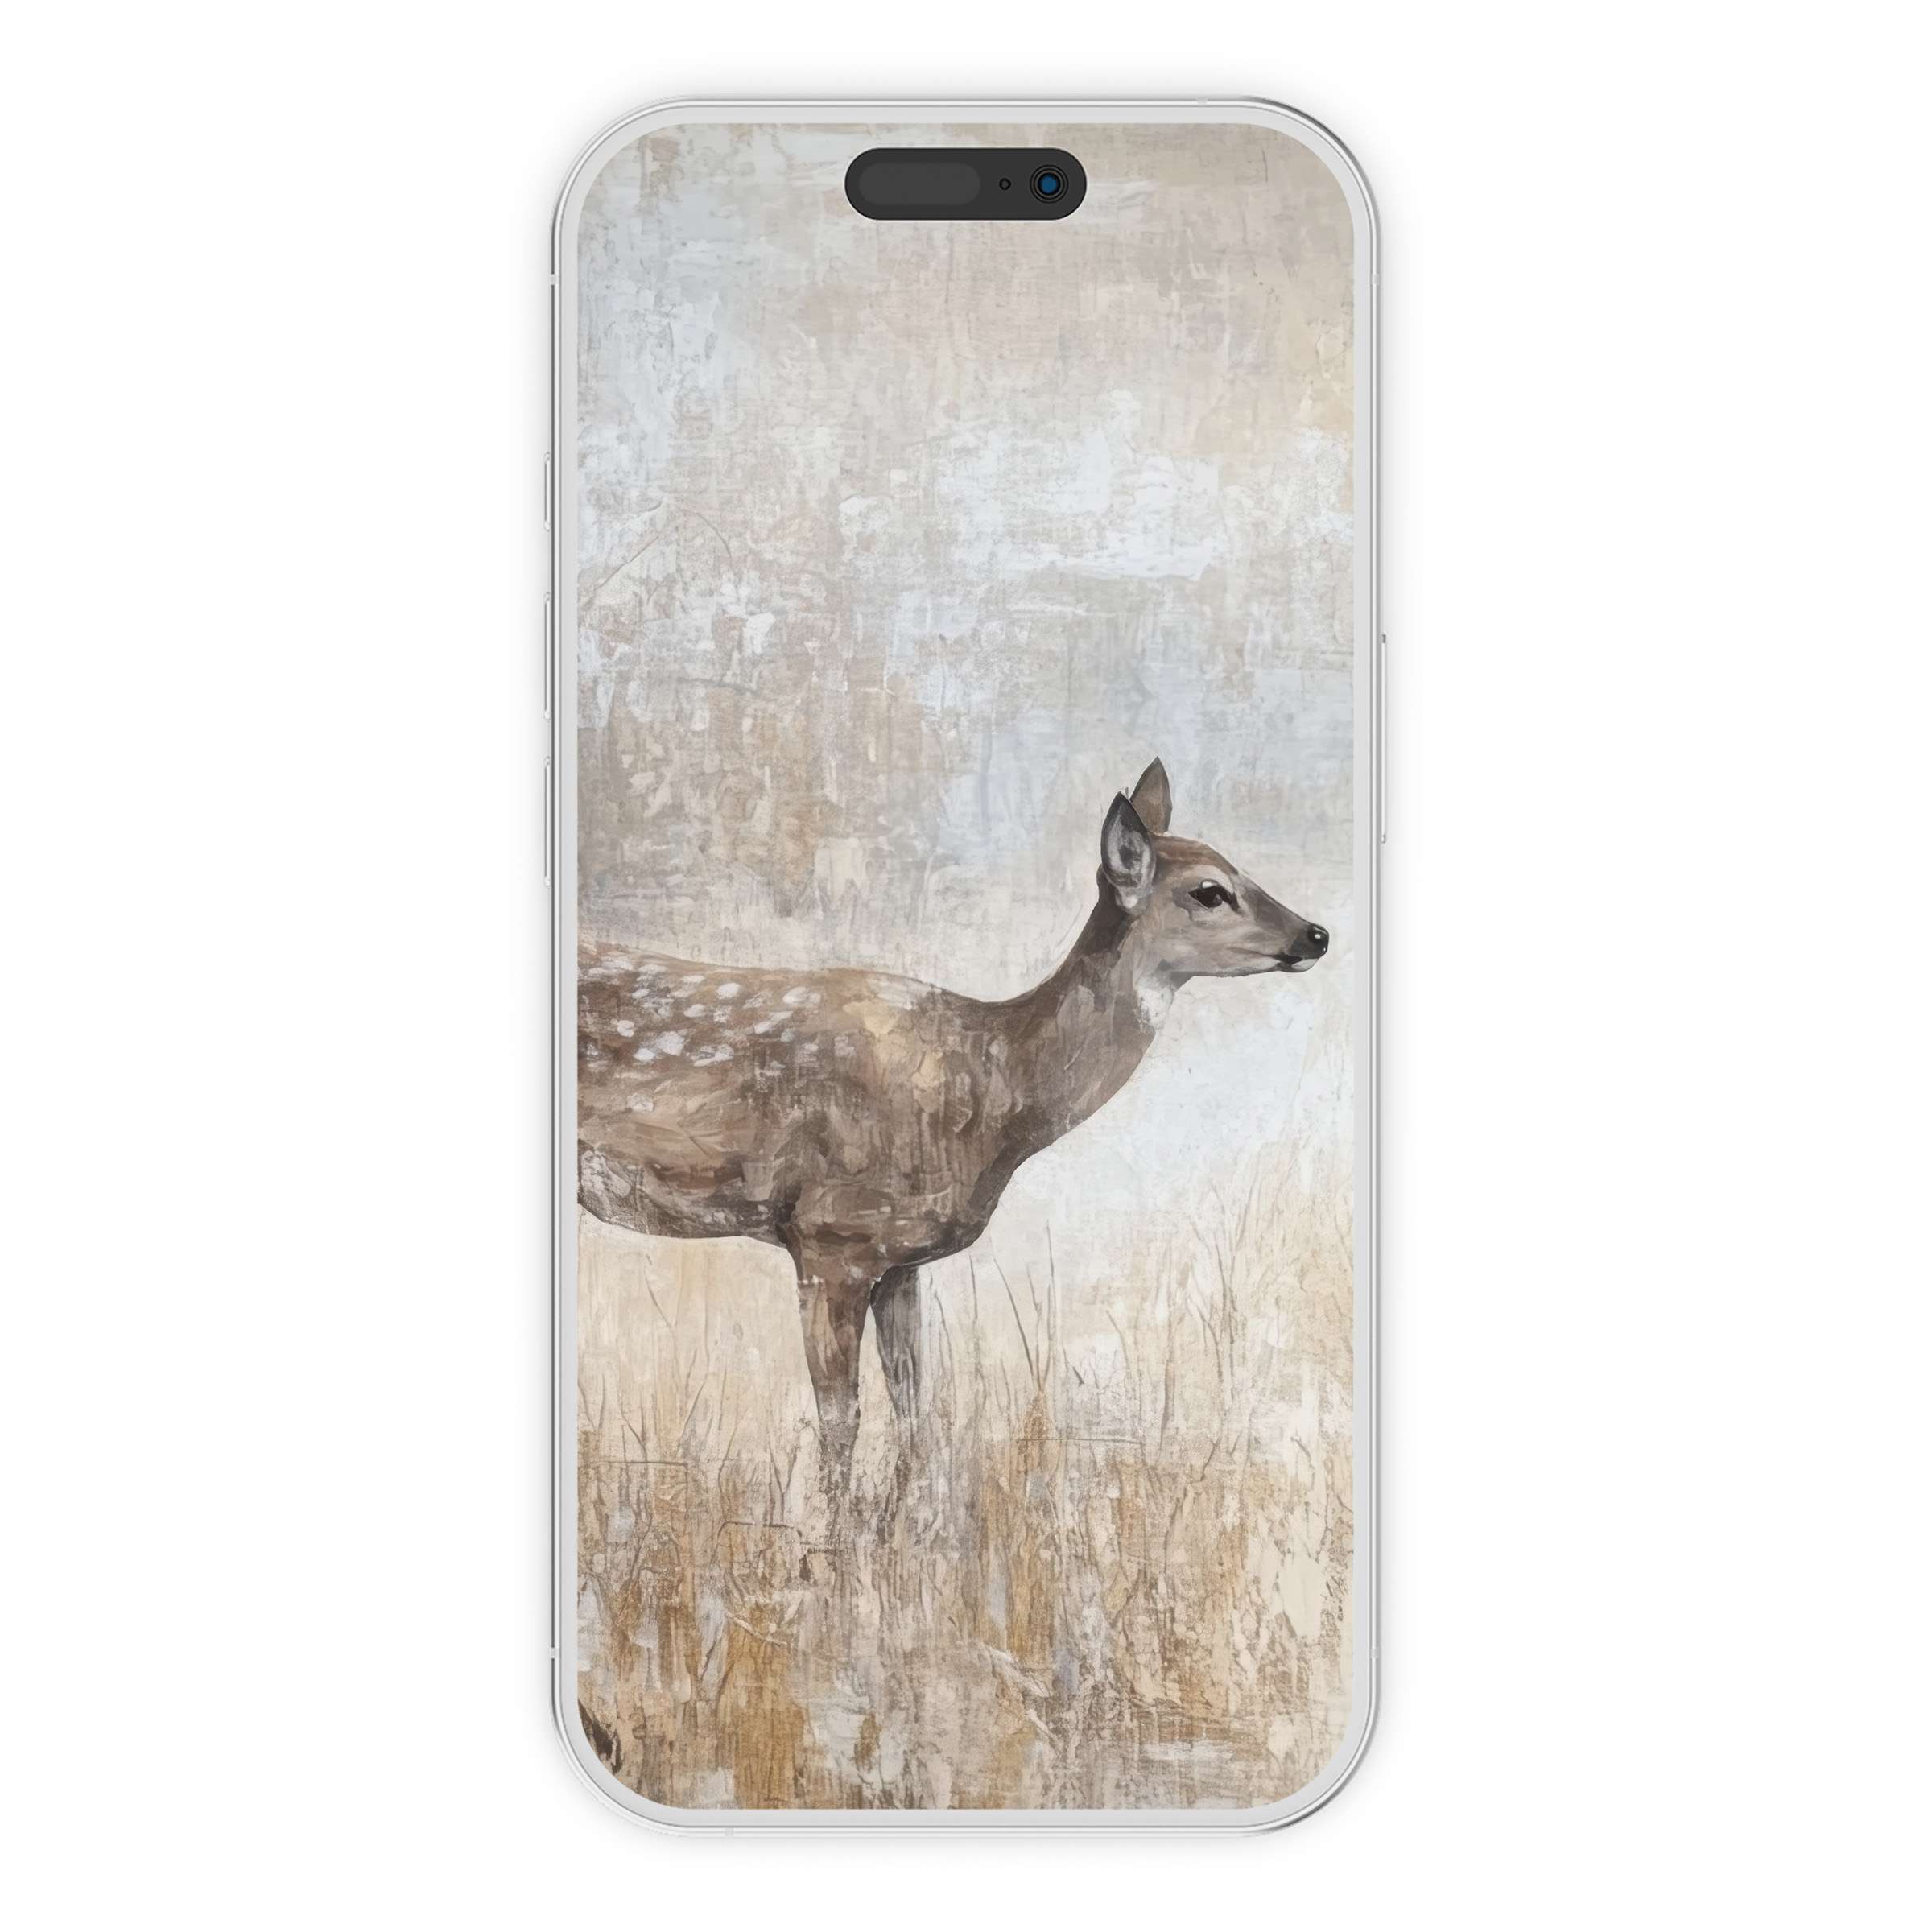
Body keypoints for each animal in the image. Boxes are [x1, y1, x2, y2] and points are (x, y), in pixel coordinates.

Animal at [576, 760, 1328, 1481]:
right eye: (1210, 891)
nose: (1316, 934)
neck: (988, 1095)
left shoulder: (902, 1258)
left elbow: (914, 1410)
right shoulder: (829, 1234)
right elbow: (841, 1423)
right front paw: (827, 1532)